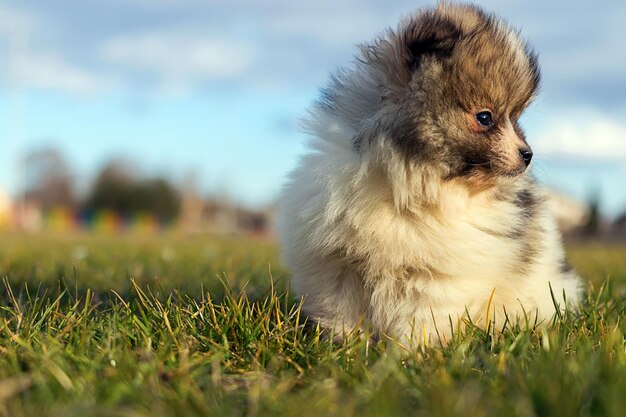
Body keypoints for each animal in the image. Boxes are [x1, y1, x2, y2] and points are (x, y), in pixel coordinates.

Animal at [276, 2, 580, 344]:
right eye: (485, 117)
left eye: (515, 118)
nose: (527, 154)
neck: (411, 184)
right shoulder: (338, 266)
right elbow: (342, 309)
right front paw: (347, 345)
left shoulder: (434, 278)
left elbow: (419, 318)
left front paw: (408, 352)